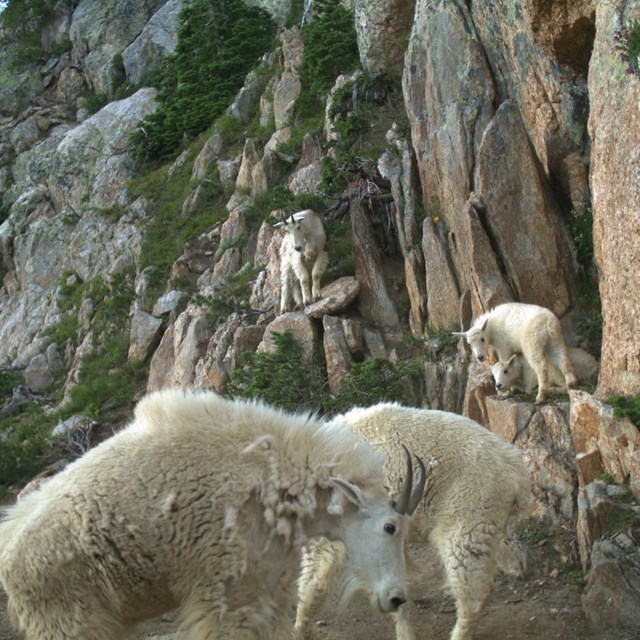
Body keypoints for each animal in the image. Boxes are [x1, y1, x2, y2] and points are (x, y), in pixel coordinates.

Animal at [0, 388, 424, 640]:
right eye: (389, 527)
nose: (397, 598)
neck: (273, 480)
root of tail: (8, 558)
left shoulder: (267, 590)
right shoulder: (227, 595)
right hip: (70, 620)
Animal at [296, 402, 528, 640]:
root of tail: (515, 473)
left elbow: (313, 582)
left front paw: (299, 630)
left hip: (467, 518)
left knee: (471, 591)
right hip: (489, 523)